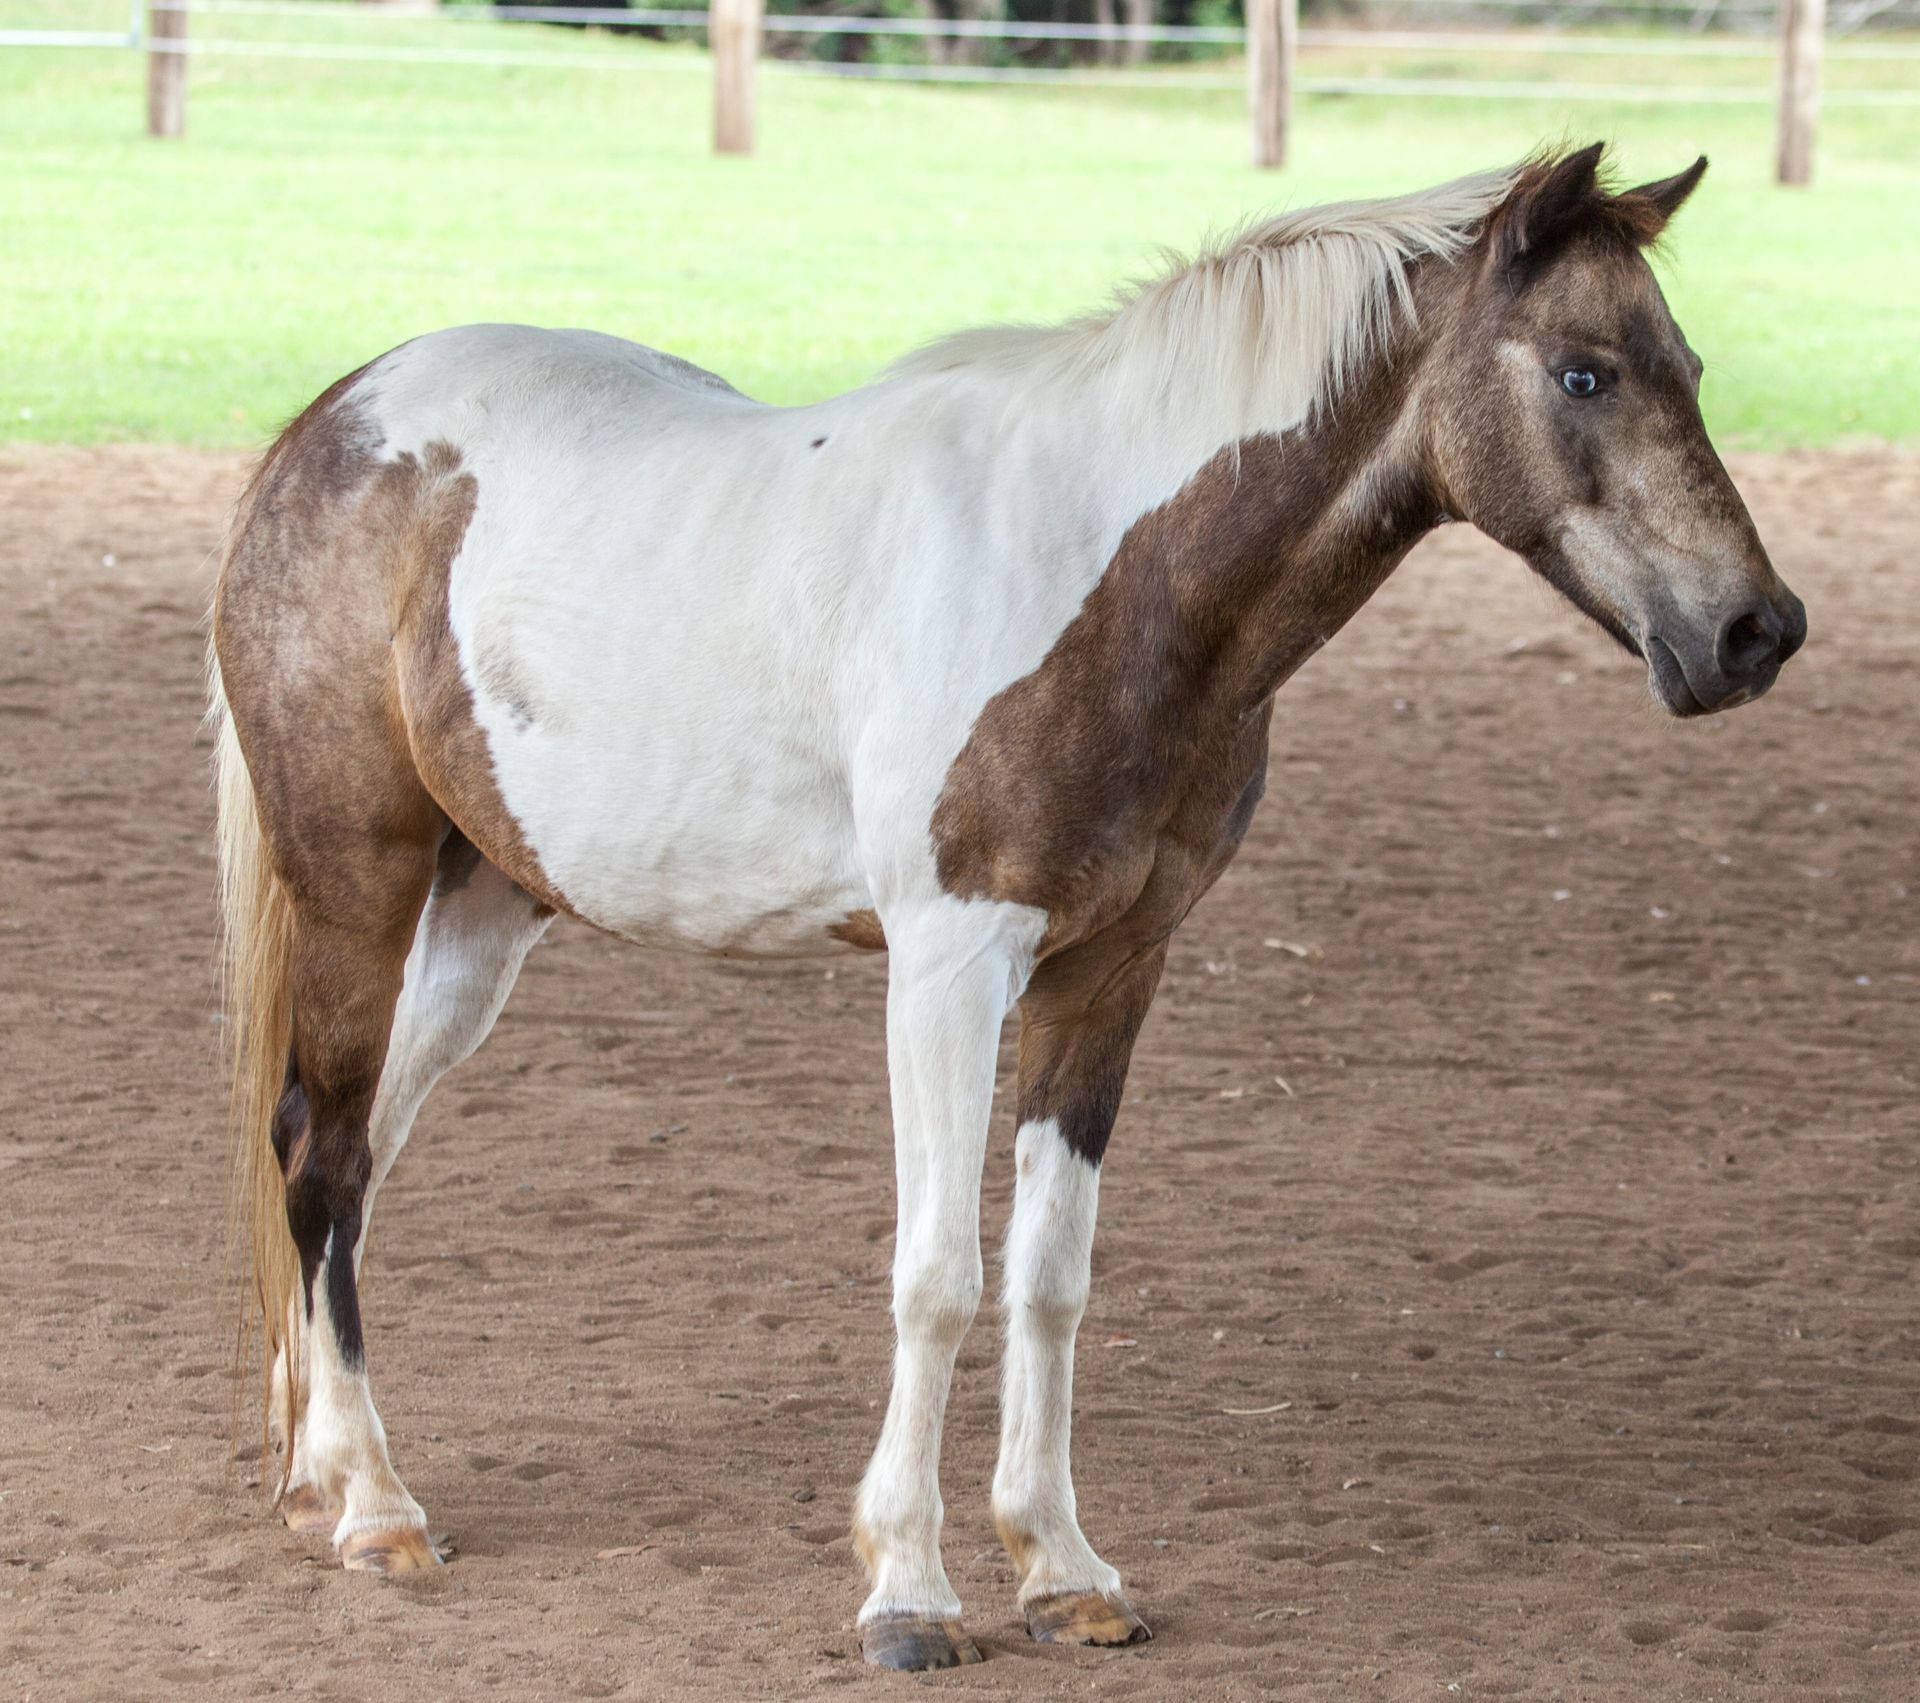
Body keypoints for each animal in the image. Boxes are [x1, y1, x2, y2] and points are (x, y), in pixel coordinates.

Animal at [210, 142, 1805, 1670]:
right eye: (1584, 371)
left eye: (1688, 368)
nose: (1756, 630)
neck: (1105, 573)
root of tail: (333, 423)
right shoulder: (949, 962)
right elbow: (939, 1275)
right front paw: (907, 1592)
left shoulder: (1111, 969)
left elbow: (1050, 1272)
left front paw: (1063, 1571)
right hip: (358, 886)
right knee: (325, 1152)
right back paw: (376, 1507)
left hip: (481, 916)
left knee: (349, 1155)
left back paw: (319, 1471)